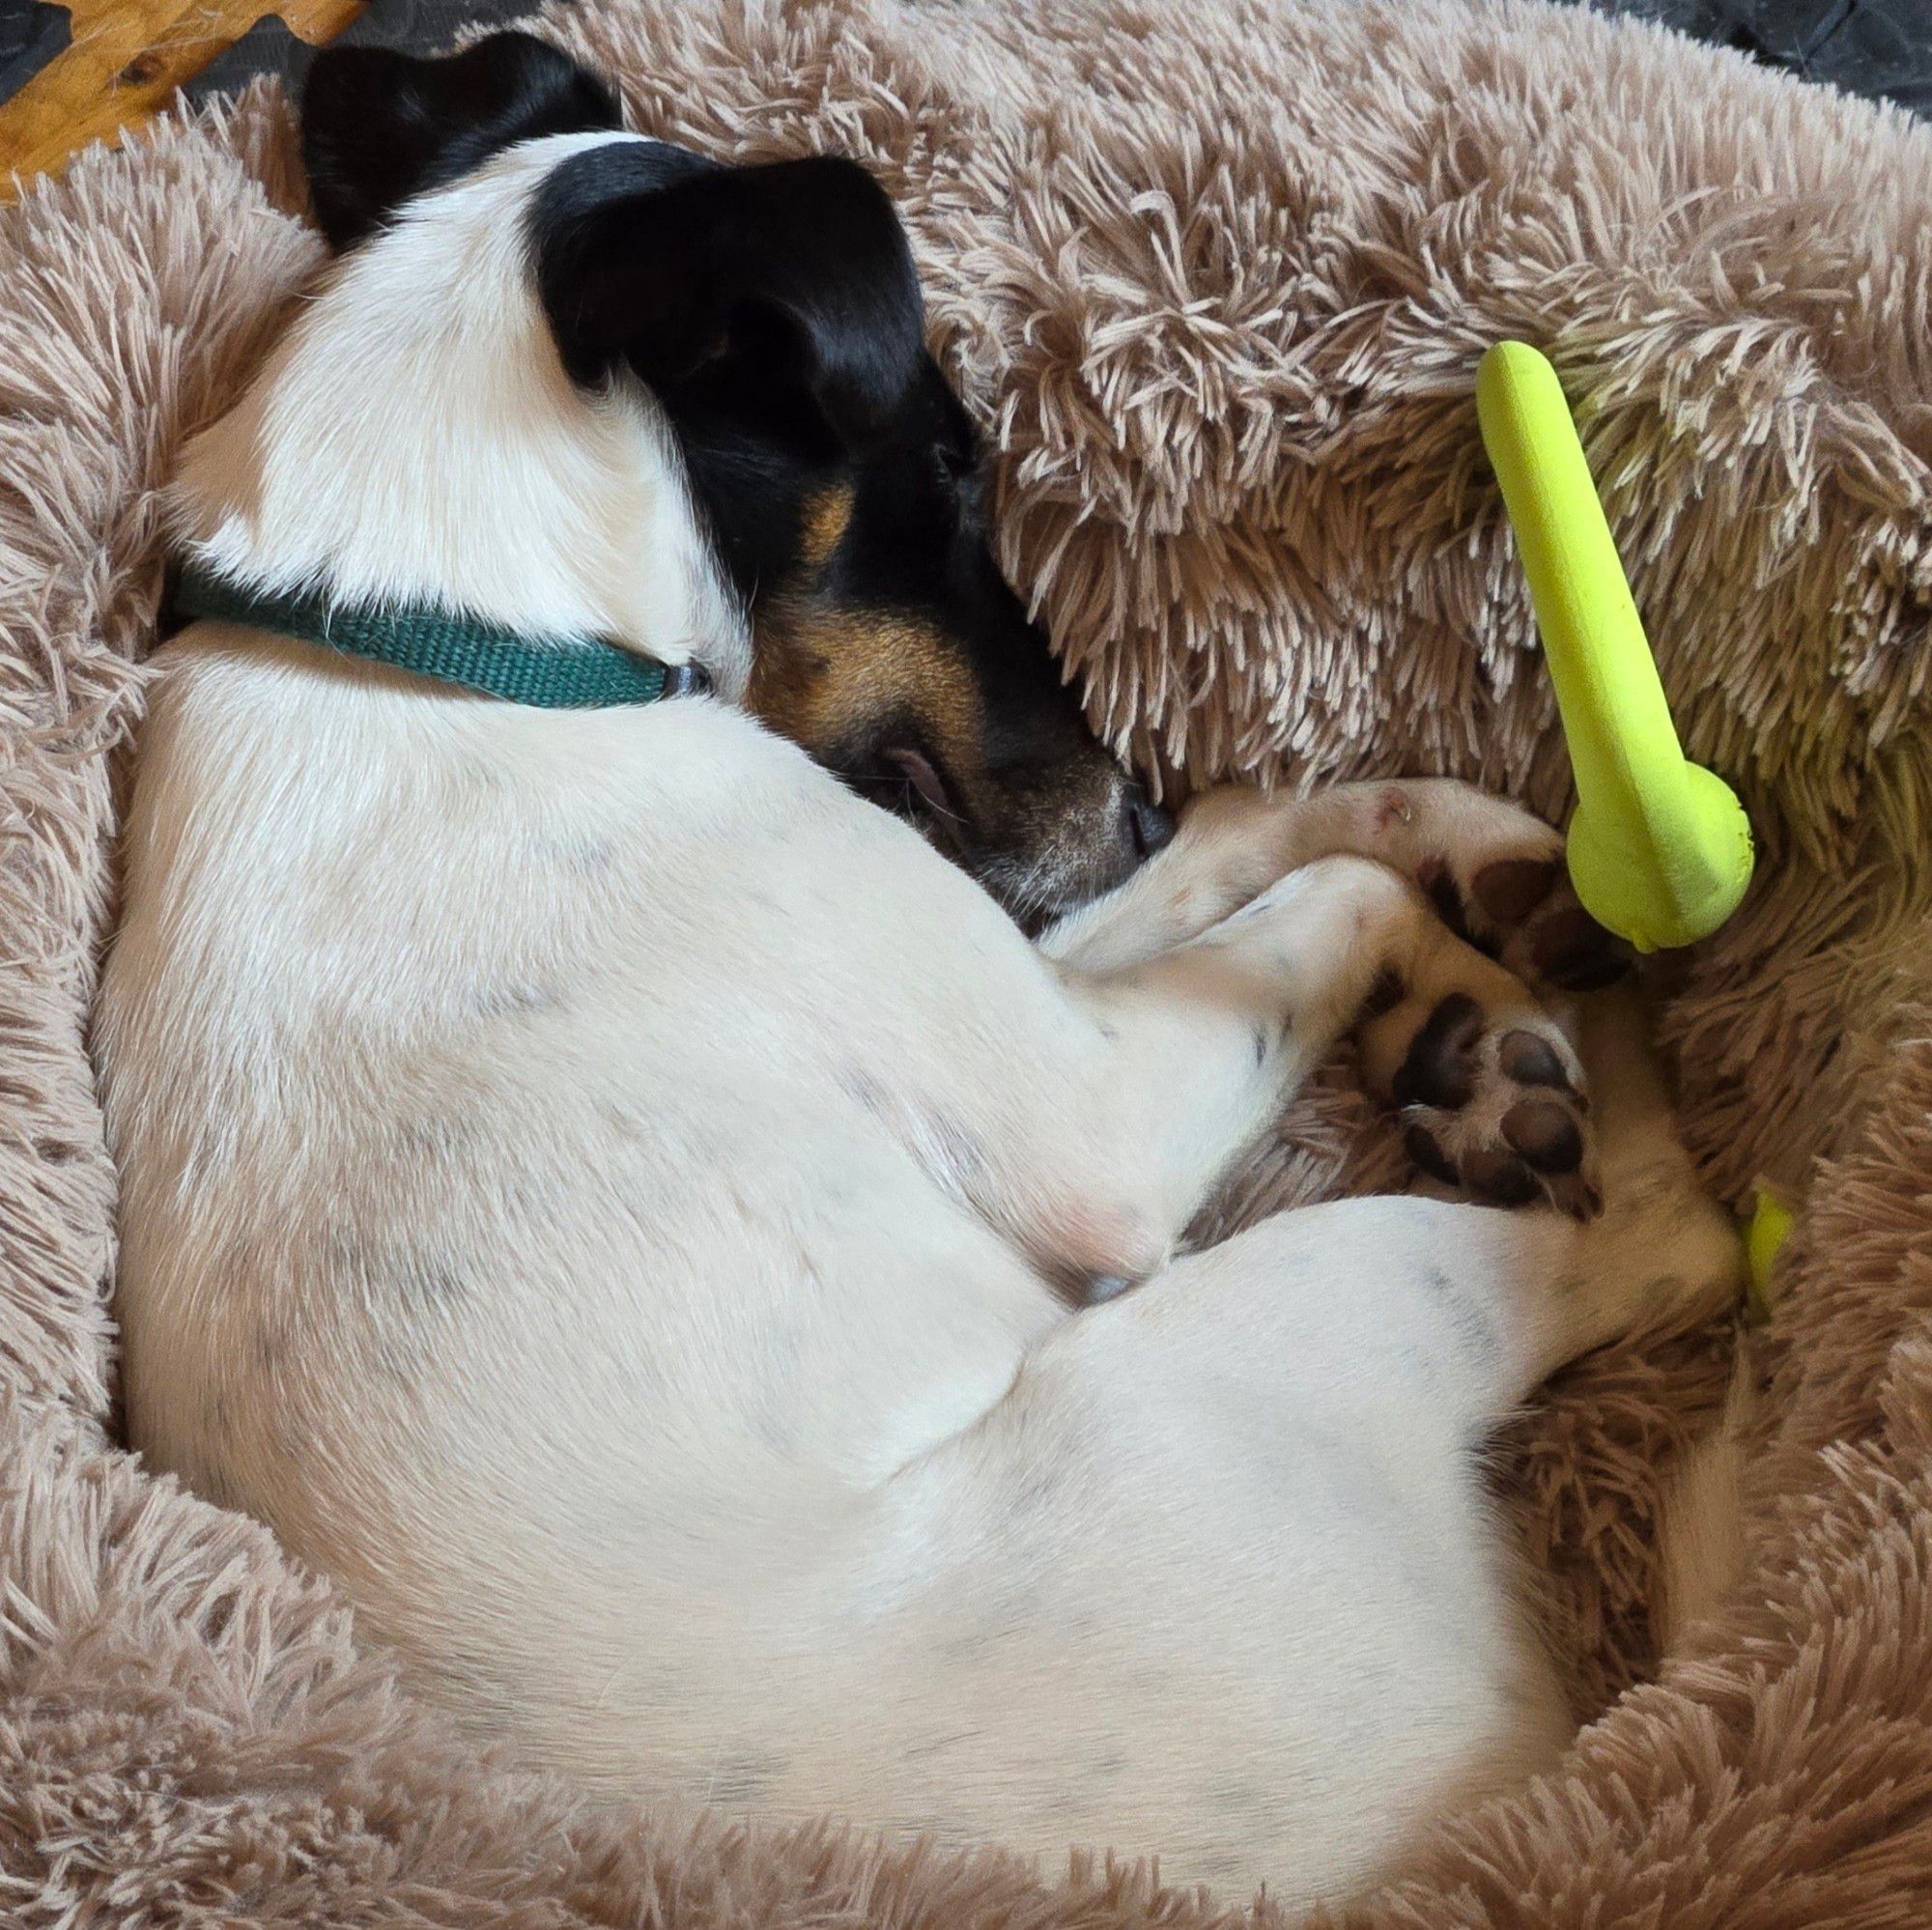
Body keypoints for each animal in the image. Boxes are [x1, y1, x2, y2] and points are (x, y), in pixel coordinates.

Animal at [98, 38, 1747, 1909]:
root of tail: (1516, 1823)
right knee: (1665, 1247)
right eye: (955, 467)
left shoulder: (1021, 948)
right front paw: (1467, 967)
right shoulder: (1083, 1113)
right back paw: (1603, 1072)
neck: (448, 641)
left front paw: (1471, 888)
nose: (1128, 790)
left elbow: (1260, 829)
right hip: (1281, 1322)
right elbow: (1327, 894)